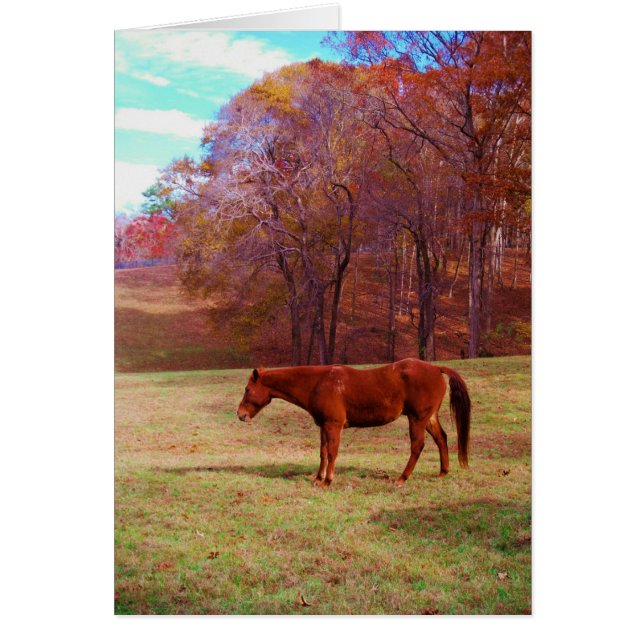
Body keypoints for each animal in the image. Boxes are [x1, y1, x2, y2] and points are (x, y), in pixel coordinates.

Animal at [236, 358, 471, 487]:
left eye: (247, 389)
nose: (240, 414)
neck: (318, 383)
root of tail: (436, 368)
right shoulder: (324, 426)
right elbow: (323, 453)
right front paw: (318, 478)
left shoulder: (334, 425)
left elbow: (332, 453)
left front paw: (327, 480)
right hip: (428, 418)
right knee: (442, 439)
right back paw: (443, 472)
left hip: (417, 419)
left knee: (417, 446)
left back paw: (402, 478)